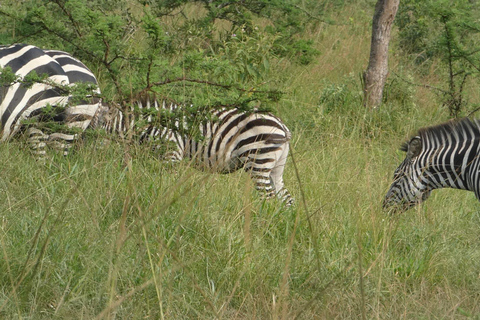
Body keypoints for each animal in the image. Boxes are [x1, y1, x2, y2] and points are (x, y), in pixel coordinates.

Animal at [89, 97, 292, 206]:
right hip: (275, 167)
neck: (150, 125)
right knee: (286, 199)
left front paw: (166, 204)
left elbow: (167, 185)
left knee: (268, 198)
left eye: (92, 128)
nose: (86, 159)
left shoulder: (172, 154)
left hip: (258, 161)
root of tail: (282, 125)